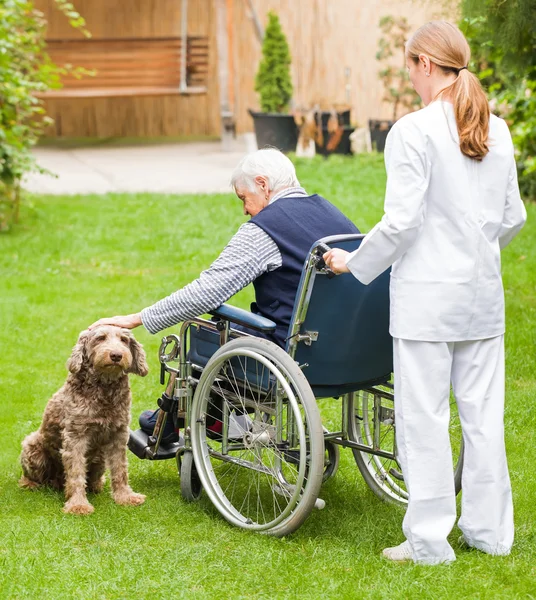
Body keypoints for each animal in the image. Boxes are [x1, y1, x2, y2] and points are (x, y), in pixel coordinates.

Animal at [19, 326, 149, 512]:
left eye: (124, 340)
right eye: (100, 338)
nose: (116, 355)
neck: (104, 389)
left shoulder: (119, 434)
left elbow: (120, 468)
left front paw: (125, 496)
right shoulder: (76, 436)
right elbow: (76, 472)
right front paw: (78, 504)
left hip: (100, 456)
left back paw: (96, 485)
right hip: (32, 446)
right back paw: (30, 483)